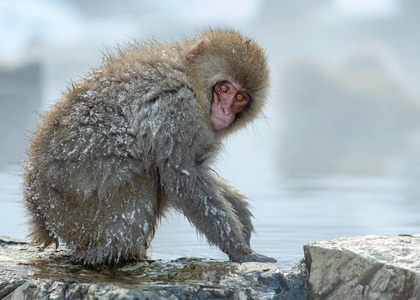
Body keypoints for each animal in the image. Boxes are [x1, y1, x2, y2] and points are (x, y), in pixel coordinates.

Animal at [22, 29, 276, 264]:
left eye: (240, 97)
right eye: (224, 89)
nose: (224, 111)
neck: (191, 79)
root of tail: (41, 217)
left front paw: (241, 213)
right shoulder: (177, 109)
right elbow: (183, 177)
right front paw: (239, 250)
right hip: (81, 219)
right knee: (146, 175)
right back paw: (116, 255)